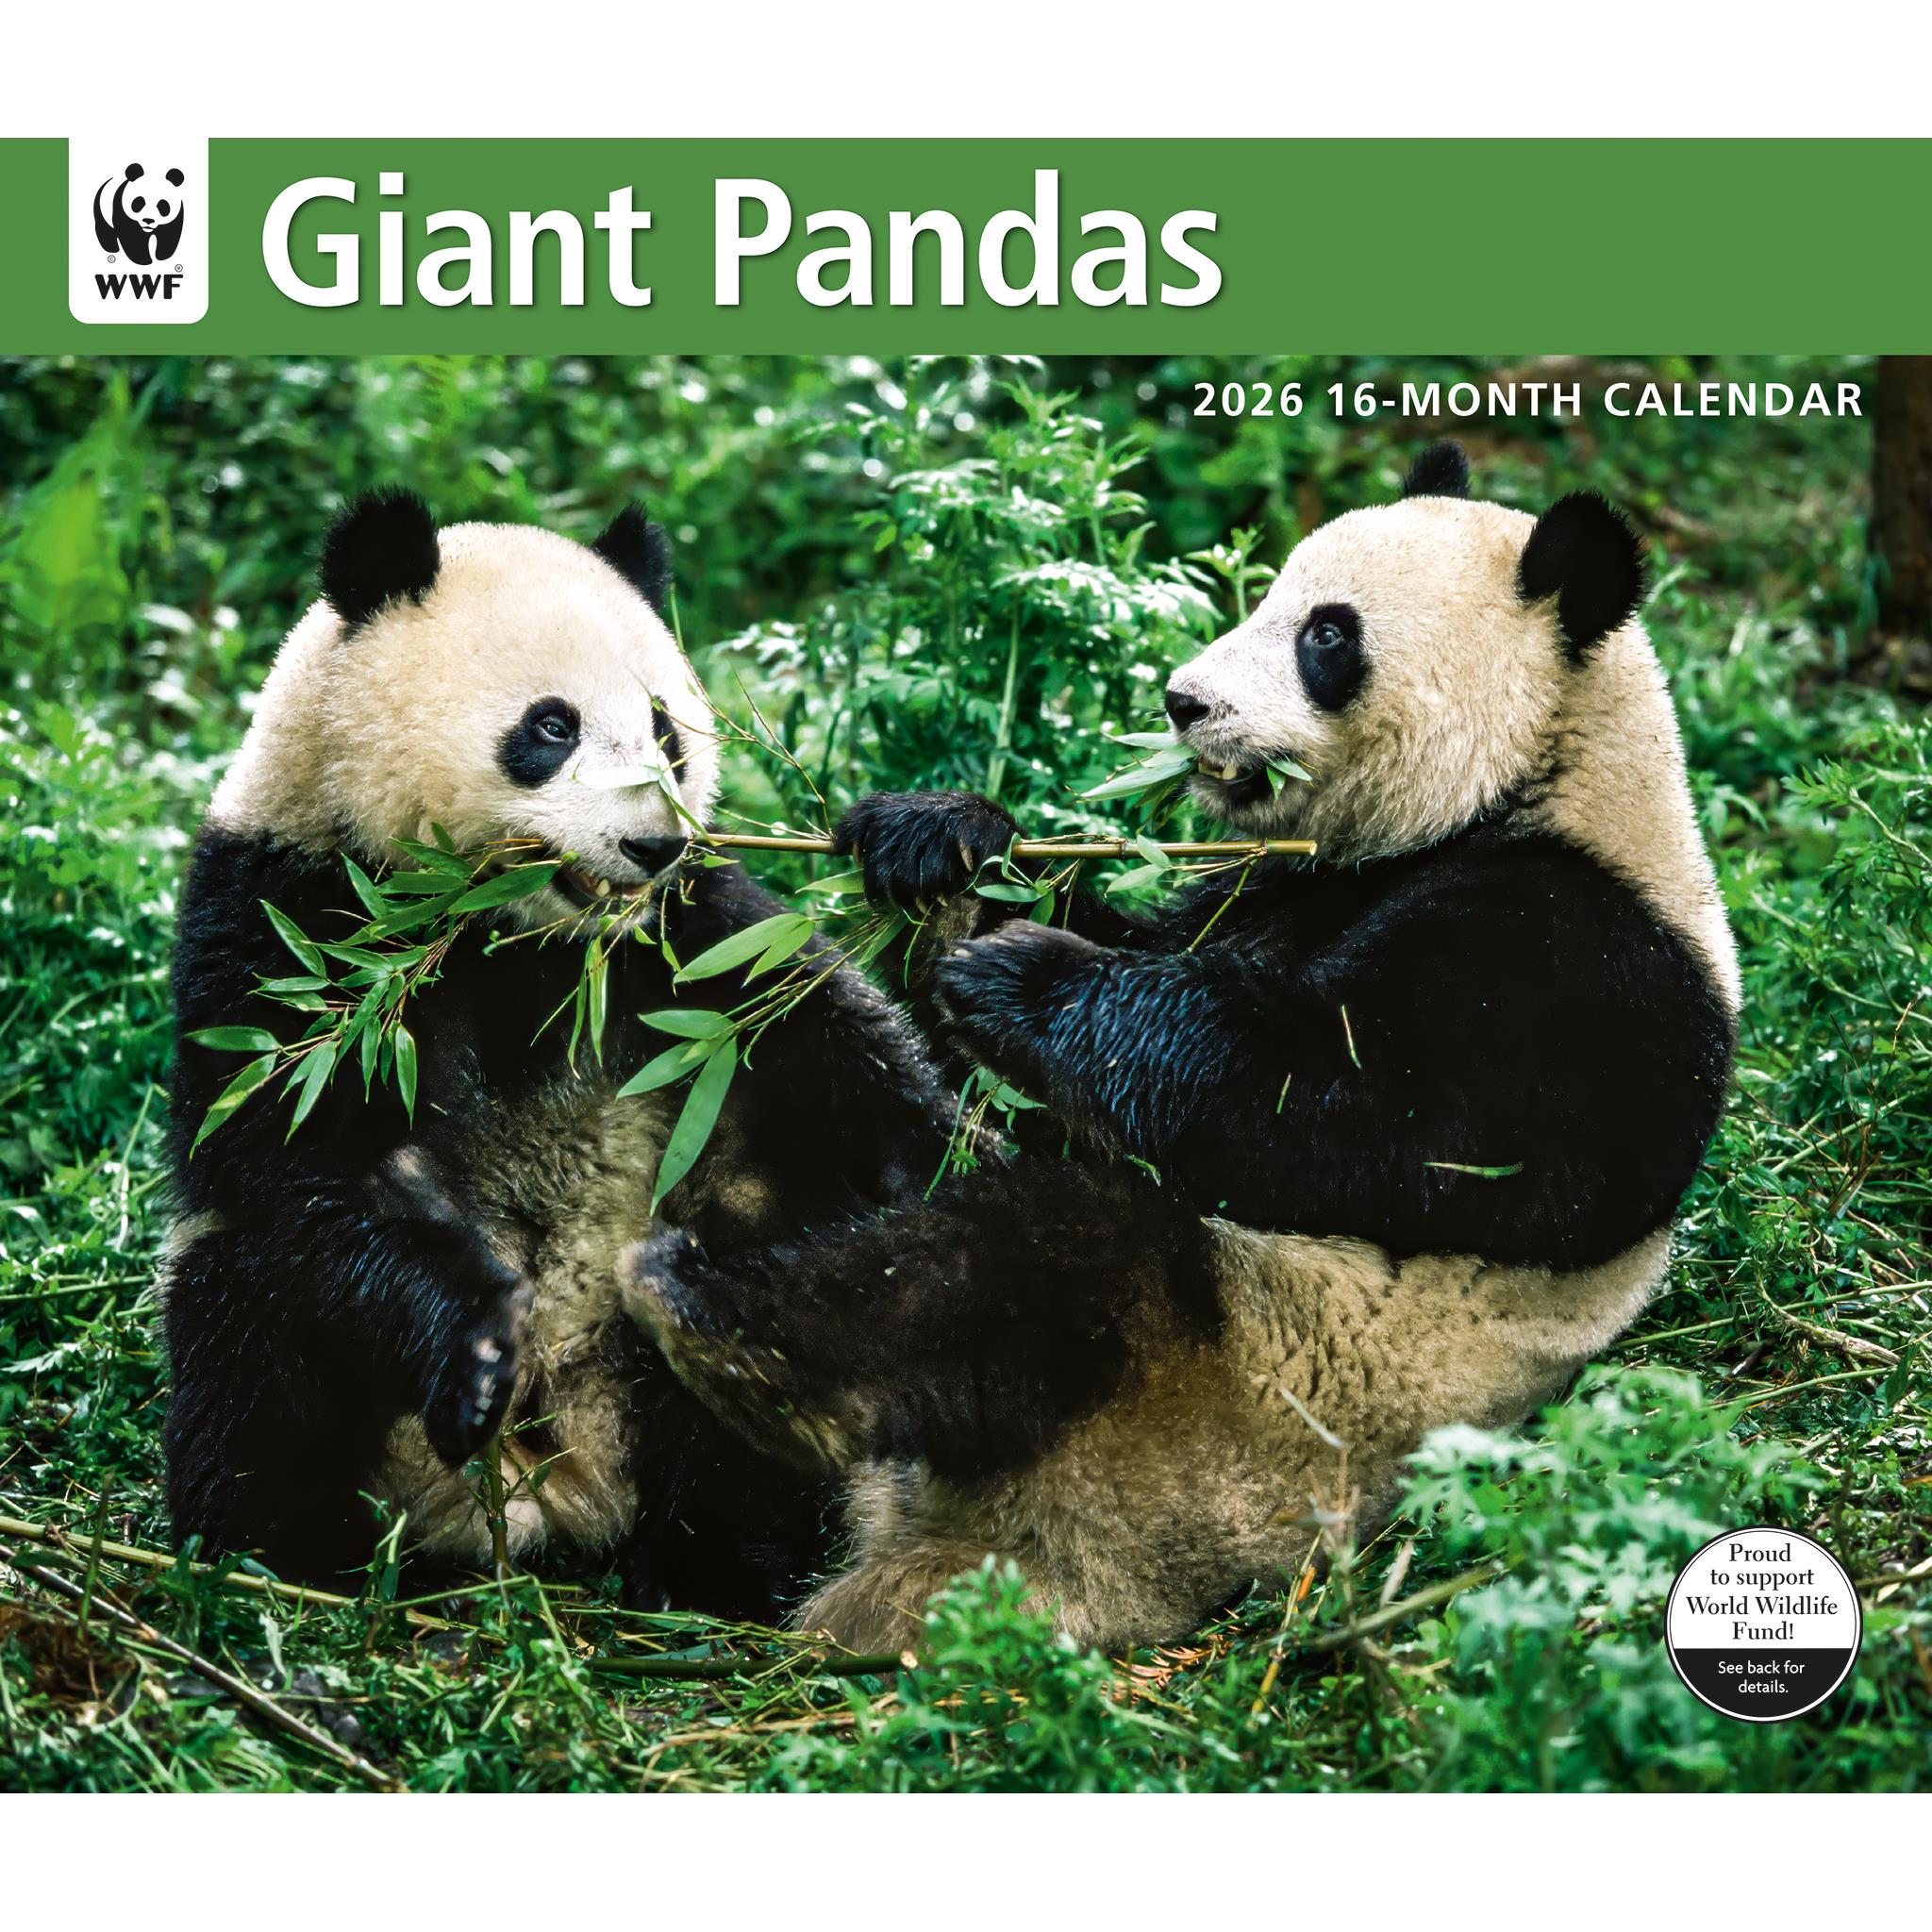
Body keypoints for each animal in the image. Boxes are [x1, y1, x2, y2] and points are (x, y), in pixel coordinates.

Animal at [159, 489, 955, 1612]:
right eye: (550, 726)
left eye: (666, 729)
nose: (649, 842)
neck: (519, 937)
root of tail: (559, 1487)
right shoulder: (293, 912)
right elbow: (295, 1154)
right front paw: (476, 1349)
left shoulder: (686, 937)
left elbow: (835, 1050)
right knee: (248, 1325)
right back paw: (277, 1557)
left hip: (661, 1309)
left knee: (749, 1330)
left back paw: (723, 1563)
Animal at [620, 444, 1741, 1652]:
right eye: (1269, 593)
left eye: (1325, 635)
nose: (1182, 701)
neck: (1544, 776)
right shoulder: (1279, 885)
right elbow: (1130, 968)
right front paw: (939, 843)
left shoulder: (1585, 964)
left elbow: (1362, 1118)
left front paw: (1022, 977)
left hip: (1205, 1401)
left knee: (1029, 1257)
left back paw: (723, 1334)